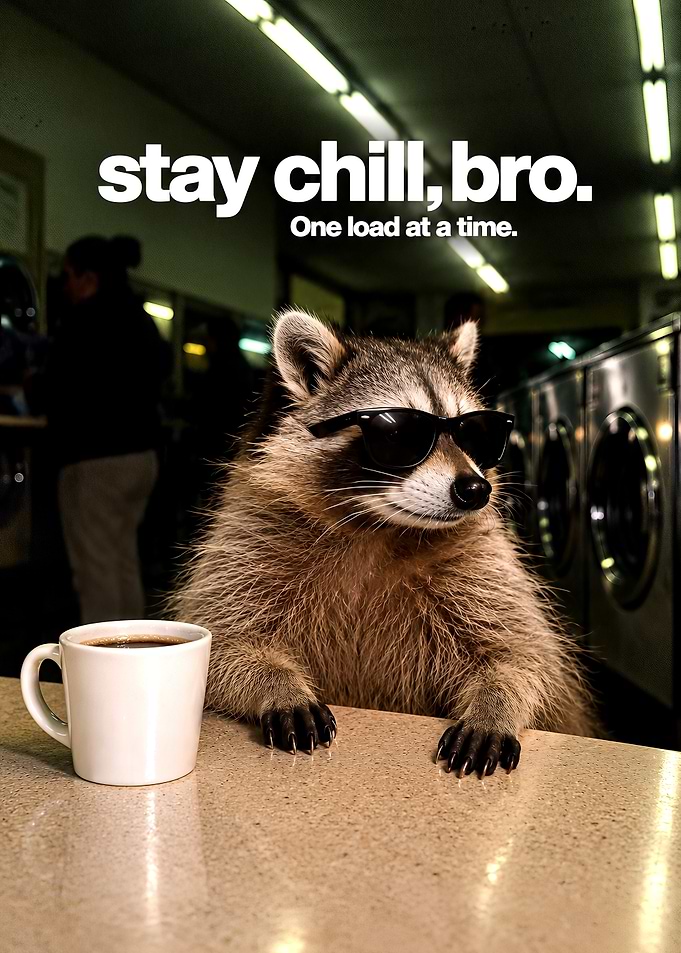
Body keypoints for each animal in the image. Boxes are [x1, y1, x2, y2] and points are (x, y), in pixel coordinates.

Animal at [173, 309, 596, 777]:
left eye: (475, 433)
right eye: (400, 435)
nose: (476, 490)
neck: (377, 528)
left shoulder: (480, 561)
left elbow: (525, 656)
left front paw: (496, 703)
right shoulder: (249, 538)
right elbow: (224, 643)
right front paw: (277, 684)